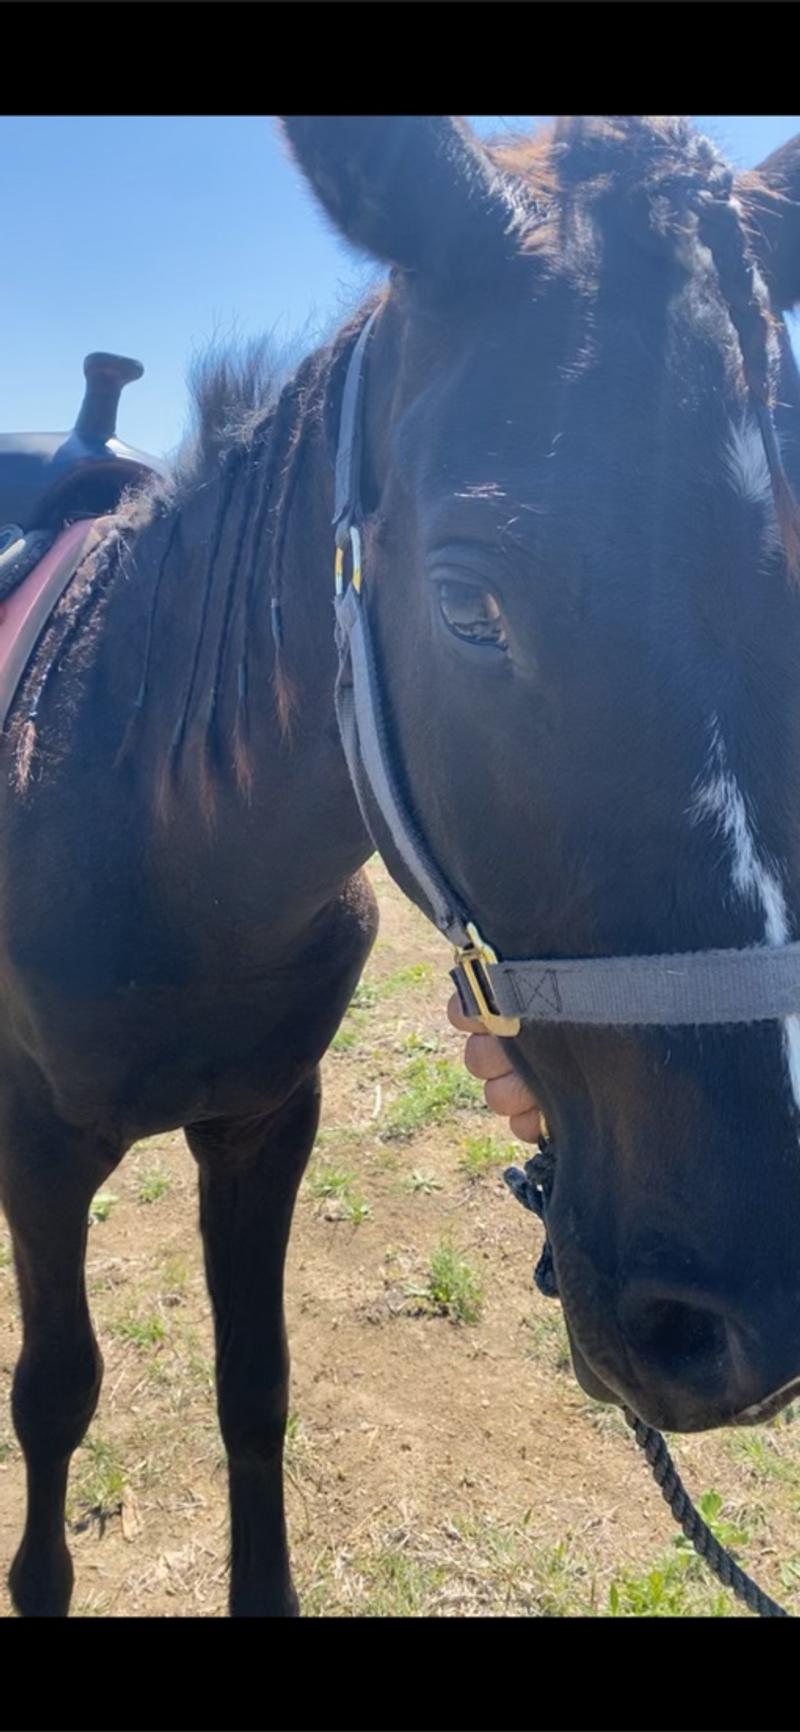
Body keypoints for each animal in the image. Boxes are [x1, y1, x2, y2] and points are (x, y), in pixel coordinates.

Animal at [2, 115, 800, 1618]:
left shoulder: (267, 1119)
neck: (158, 834)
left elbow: (255, 1387)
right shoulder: (38, 1140)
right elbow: (53, 1394)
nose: (751, 1320)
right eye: (466, 606)